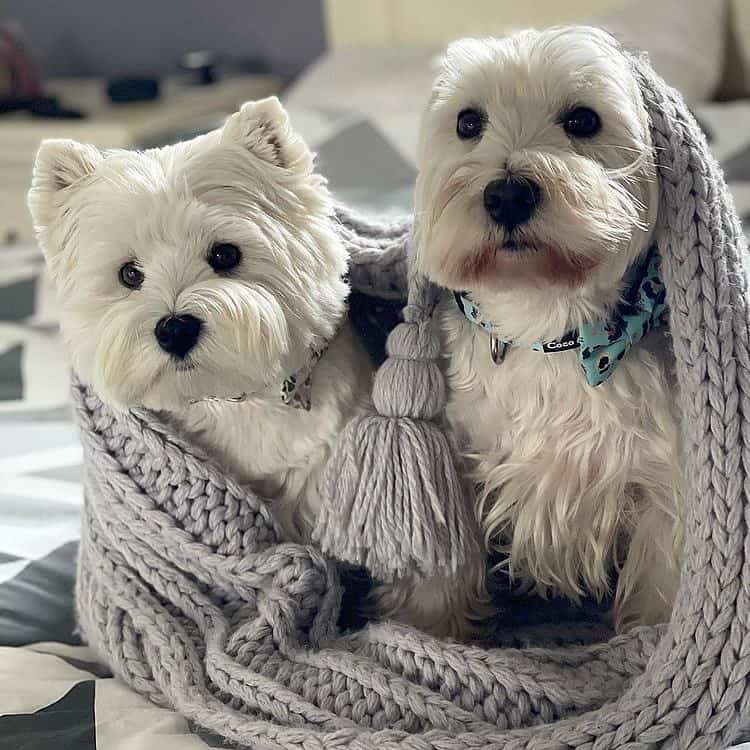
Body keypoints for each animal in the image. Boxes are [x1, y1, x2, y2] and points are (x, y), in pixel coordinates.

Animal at [418, 26, 688, 632]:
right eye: (467, 122)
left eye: (583, 120)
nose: (506, 194)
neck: (549, 337)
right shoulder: (457, 462)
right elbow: (439, 559)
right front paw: (426, 628)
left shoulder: (663, 490)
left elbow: (659, 592)